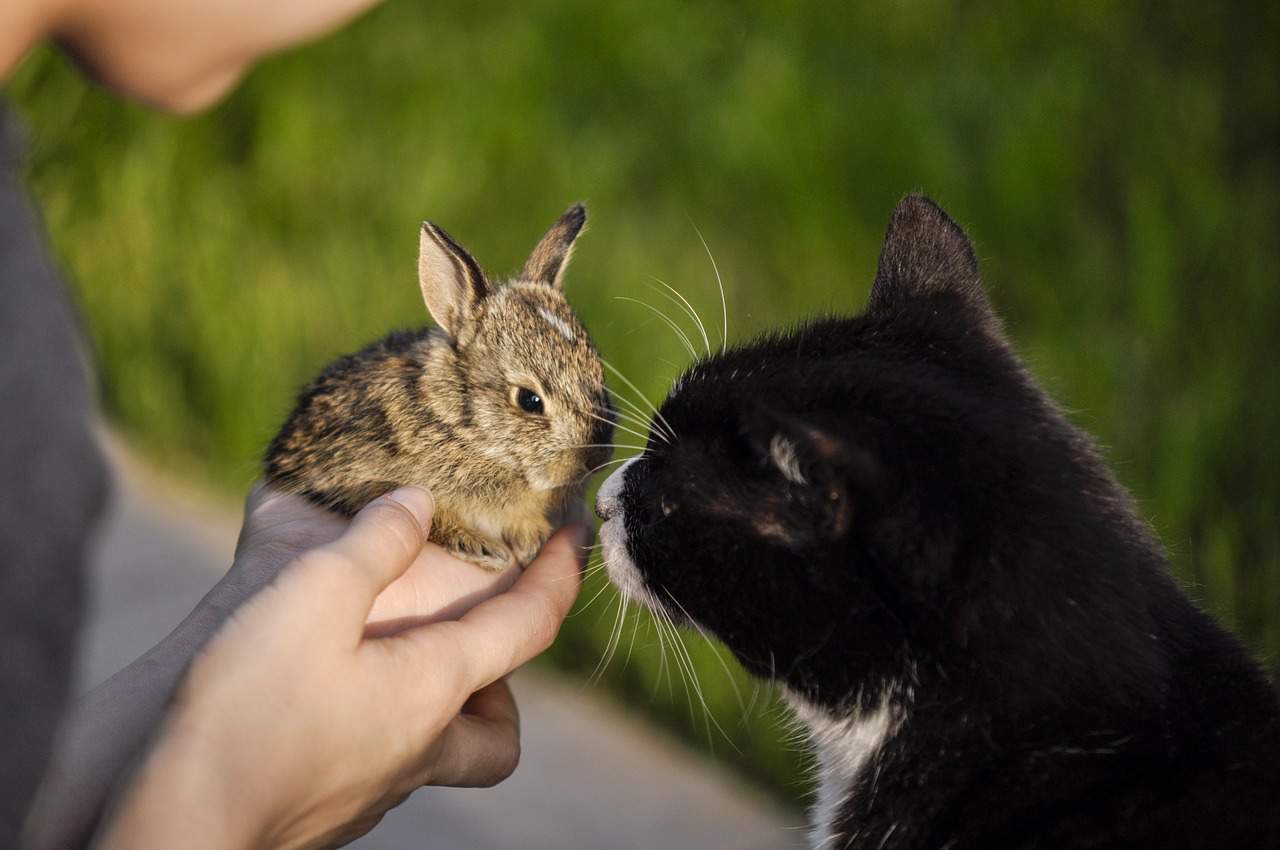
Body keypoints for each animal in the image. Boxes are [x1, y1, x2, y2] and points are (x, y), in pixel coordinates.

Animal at [265, 203, 615, 571]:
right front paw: (481, 548)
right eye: (529, 400)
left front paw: (532, 537)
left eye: (599, 373)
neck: (462, 428)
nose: (597, 457)